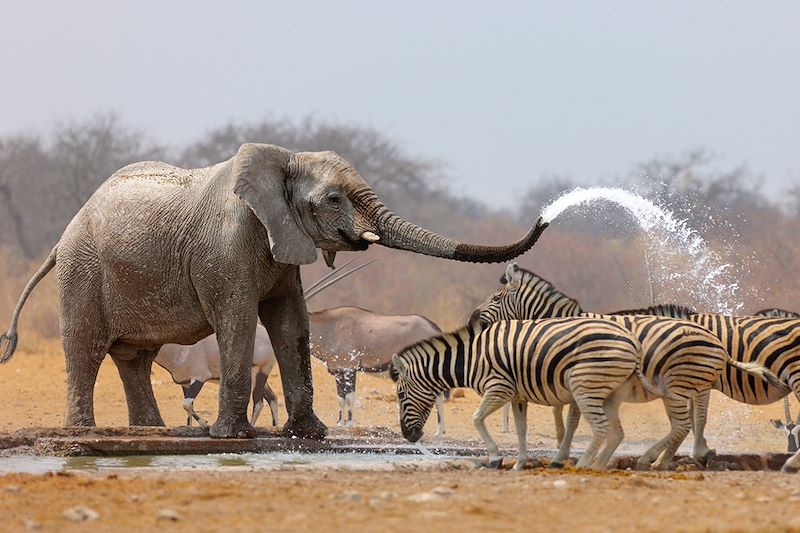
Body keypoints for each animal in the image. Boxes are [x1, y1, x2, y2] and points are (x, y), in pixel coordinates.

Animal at [0, 141, 552, 436]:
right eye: (334, 199)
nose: (545, 216)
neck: (285, 158)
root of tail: (63, 236)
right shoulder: (226, 247)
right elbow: (240, 320)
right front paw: (230, 437)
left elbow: (290, 322)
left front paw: (310, 435)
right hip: (83, 270)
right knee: (86, 348)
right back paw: (84, 433)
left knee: (134, 357)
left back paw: (149, 433)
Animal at [390, 316, 640, 470]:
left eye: (400, 396)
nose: (408, 436)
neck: (471, 359)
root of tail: (632, 340)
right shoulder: (517, 395)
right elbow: (520, 429)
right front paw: (520, 463)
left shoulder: (499, 388)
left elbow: (477, 418)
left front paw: (495, 458)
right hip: (606, 391)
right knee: (612, 431)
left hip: (585, 386)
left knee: (601, 427)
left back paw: (583, 465)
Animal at [476, 264, 780, 468]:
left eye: (495, 298)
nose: (474, 319)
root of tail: (715, 341)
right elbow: (565, 419)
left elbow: (571, 421)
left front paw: (562, 457)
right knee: (693, 419)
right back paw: (685, 455)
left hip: (683, 384)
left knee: (692, 419)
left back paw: (669, 457)